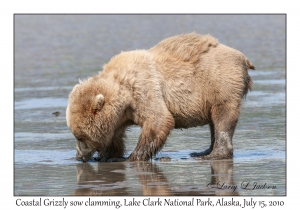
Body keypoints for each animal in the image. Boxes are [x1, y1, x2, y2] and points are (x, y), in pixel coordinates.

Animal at [65, 32, 253, 162]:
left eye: (80, 137)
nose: (79, 156)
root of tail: (243, 57)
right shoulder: (120, 116)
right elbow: (115, 135)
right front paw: (108, 155)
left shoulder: (143, 89)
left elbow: (159, 120)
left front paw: (133, 157)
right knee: (214, 121)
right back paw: (203, 150)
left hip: (219, 82)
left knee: (223, 118)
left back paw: (212, 154)